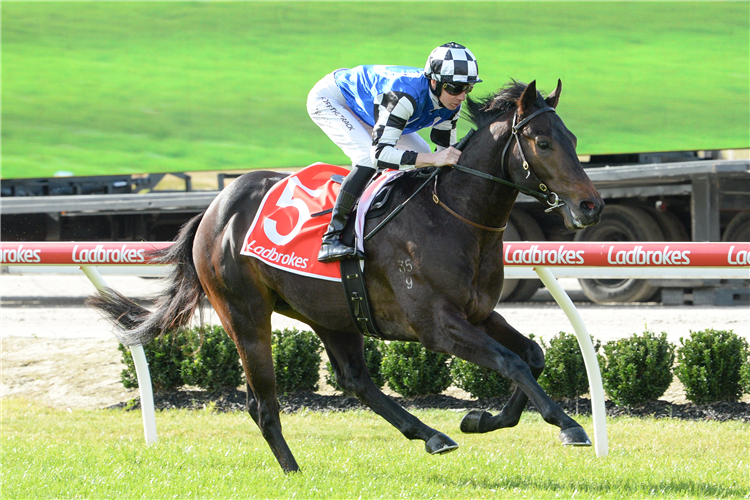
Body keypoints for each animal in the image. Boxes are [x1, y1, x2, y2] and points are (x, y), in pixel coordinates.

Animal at [89, 79, 604, 472]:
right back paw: (293, 471)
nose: (590, 206)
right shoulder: (437, 325)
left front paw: (479, 419)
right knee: (262, 404)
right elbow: (510, 361)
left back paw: (431, 434)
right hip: (243, 313)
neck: (452, 216)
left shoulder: (478, 314)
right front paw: (569, 425)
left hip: (332, 313)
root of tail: (214, 209)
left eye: (575, 140)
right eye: (543, 142)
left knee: (355, 379)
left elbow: (531, 355)